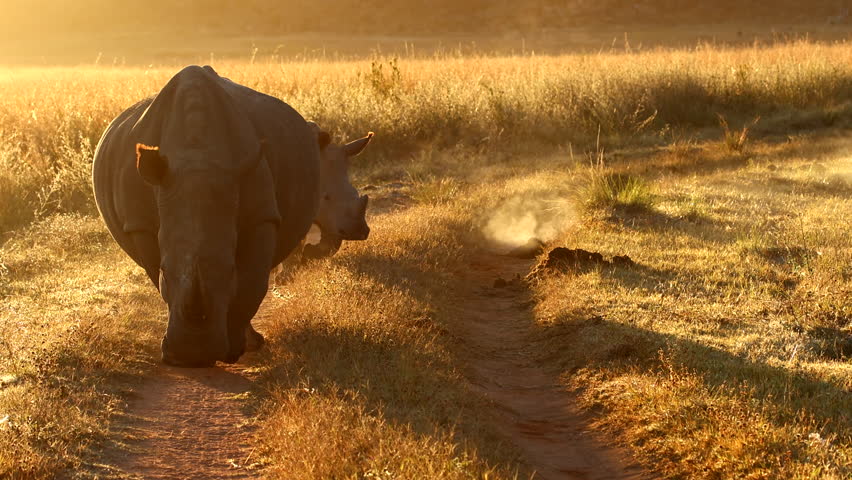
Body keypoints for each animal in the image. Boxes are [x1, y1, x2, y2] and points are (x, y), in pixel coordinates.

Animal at [92, 65, 372, 367]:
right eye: (326, 198)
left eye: (230, 270)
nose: (193, 356)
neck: (197, 158)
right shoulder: (140, 224)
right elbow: (162, 279)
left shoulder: (262, 213)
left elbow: (251, 282)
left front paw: (238, 348)